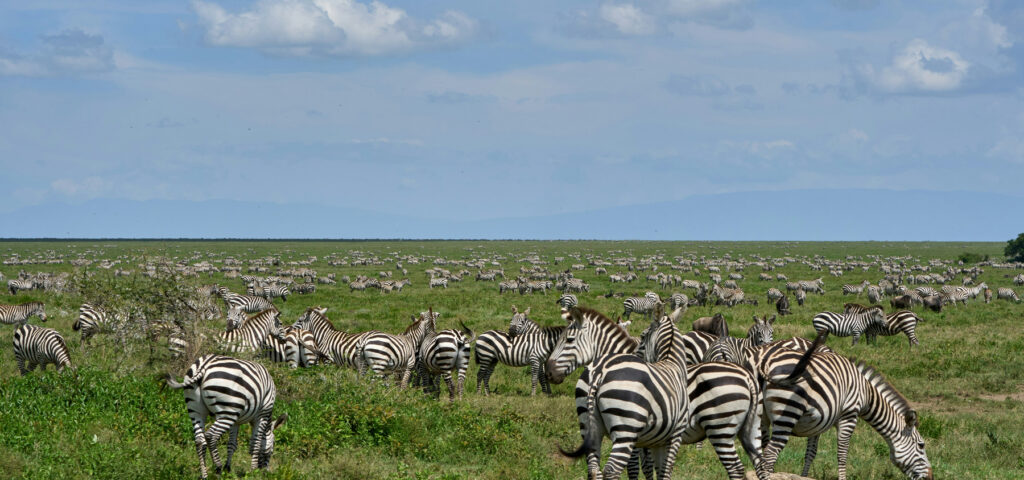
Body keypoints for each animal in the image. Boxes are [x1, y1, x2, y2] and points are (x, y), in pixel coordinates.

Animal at [559, 312, 690, 480]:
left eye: (642, 336)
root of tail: (599, 371)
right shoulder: (673, 434)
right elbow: (653, 469)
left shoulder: (653, 440)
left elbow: (650, 467)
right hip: (625, 428)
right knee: (611, 469)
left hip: (591, 424)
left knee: (594, 468)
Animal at [754, 332, 933, 480]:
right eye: (921, 445)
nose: (931, 476)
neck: (867, 393)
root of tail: (765, 361)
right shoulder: (849, 415)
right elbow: (842, 453)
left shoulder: (819, 420)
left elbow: (810, 452)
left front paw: (803, 476)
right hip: (787, 411)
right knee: (769, 455)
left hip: (761, 417)